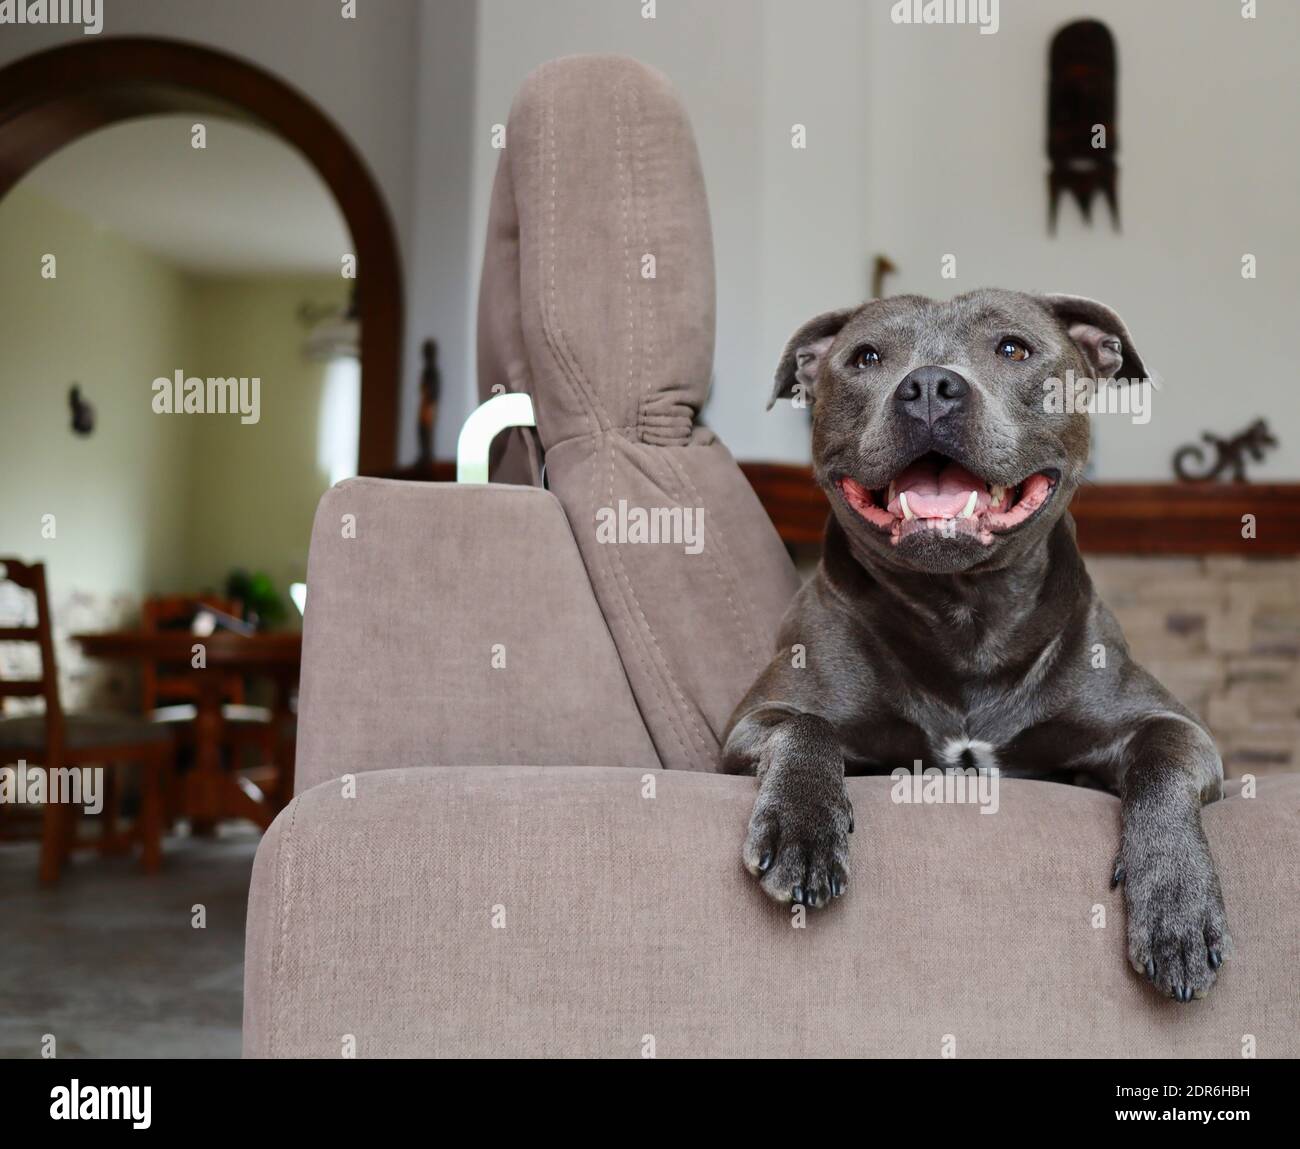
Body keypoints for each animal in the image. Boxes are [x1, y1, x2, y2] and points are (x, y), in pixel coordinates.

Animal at [728, 291, 1232, 1003]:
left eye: (1014, 349)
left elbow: (1161, 761)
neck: (965, 615)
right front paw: (802, 827)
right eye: (866, 358)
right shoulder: (752, 720)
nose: (929, 387)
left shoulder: (1172, 725)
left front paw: (1177, 905)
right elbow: (803, 726)